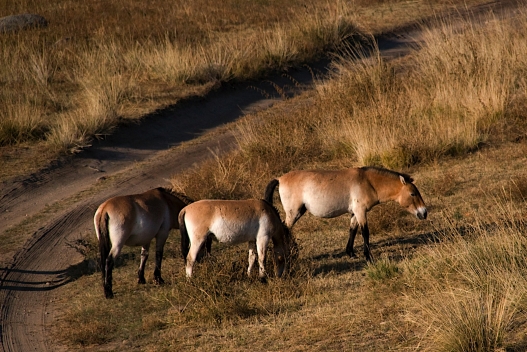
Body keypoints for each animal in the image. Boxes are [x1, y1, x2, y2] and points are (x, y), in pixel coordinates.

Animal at [264, 167, 428, 262]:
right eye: (413, 194)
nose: (424, 213)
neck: (368, 182)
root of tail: (279, 178)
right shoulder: (361, 212)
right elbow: (365, 233)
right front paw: (368, 257)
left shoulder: (355, 213)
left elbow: (352, 231)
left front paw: (350, 253)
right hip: (294, 213)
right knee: (284, 229)